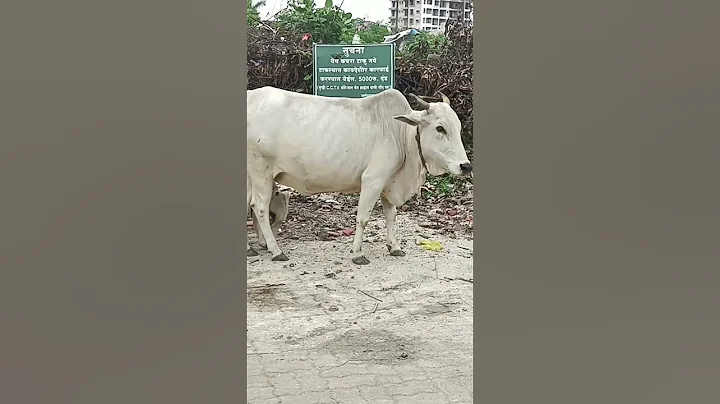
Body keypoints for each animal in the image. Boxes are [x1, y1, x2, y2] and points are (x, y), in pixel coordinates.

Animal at [247, 86, 471, 265]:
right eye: (440, 128)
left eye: (459, 127)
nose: (466, 166)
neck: (399, 133)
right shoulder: (373, 180)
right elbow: (363, 218)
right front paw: (357, 253)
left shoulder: (387, 182)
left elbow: (391, 215)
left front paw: (395, 247)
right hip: (261, 172)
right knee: (260, 207)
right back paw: (276, 250)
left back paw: (256, 247)